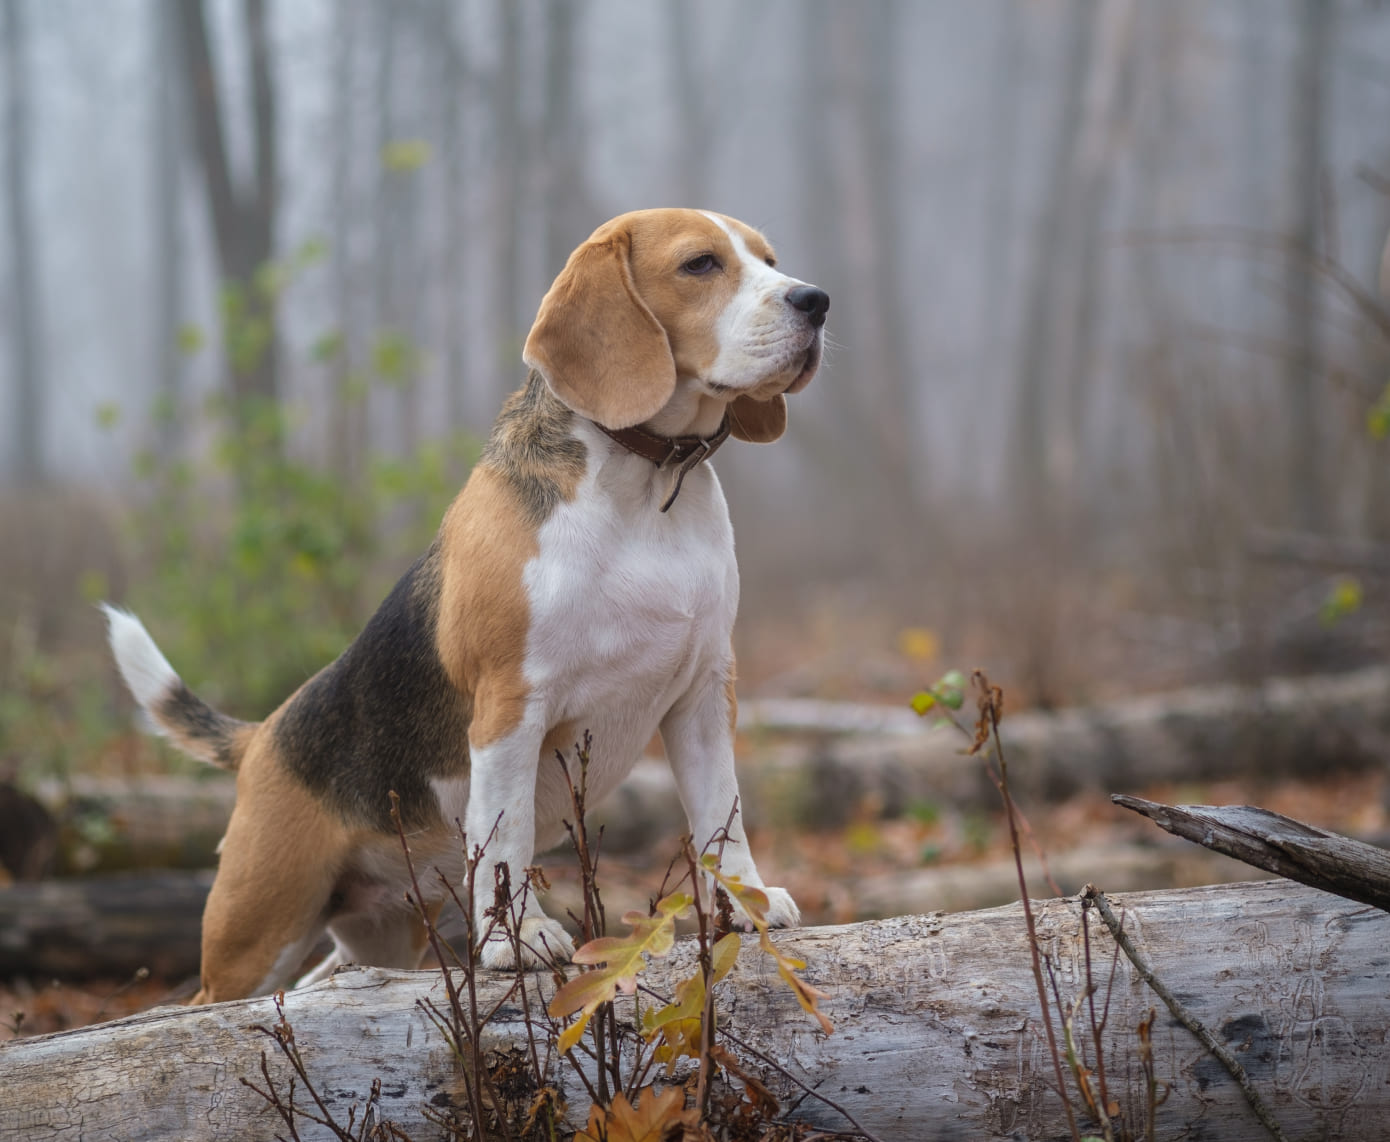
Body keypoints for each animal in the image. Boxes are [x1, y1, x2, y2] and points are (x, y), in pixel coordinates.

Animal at [108, 209, 828, 1005]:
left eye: (770, 260)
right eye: (700, 264)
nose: (816, 301)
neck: (647, 483)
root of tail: (262, 734)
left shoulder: (702, 695)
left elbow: (720, 817)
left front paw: (746, 904)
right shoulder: (511, 706)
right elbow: (505, 834)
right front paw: (521, 939)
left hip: (381, 934)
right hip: (256, 931)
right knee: (210, 1004)